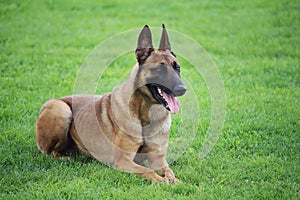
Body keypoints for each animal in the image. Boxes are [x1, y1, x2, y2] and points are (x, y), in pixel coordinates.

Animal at [35, 25, 185, 184]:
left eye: (177, 68)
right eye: (159, 69)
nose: (182, 89)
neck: (145, 114)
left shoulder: (158, 160)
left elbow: (169, 171)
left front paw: (175, 181)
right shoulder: (123, 160)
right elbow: (148, 170)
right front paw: (163, 181)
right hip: (61, 109)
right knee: (50, 152)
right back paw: (65, 158)